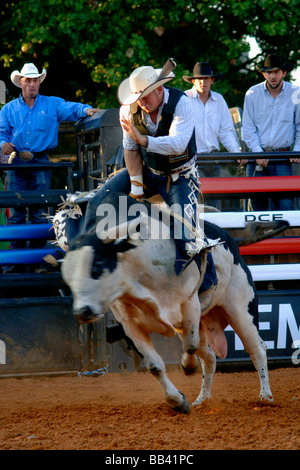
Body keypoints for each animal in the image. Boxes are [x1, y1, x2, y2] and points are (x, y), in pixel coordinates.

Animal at [52, 190, 288, 412]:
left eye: (98, 264)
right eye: (67, 276)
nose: (83, 311)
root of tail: (231, 241)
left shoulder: (189, 303)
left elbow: (190, 345)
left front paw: (187, 366)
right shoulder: (131, 325)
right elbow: (156, 365)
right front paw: (177, 401)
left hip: (241, 309)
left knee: (257, 348)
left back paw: (265, 397)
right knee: (210, 357)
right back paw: (202, 399)